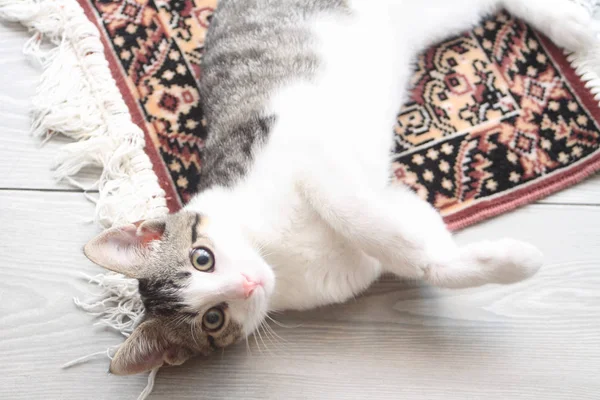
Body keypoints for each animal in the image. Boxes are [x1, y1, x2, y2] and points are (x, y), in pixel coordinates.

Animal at [82, 0, 596, 376]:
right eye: (214, 318)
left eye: (201, 257)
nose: (249, 283)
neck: (274, 253)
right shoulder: (361, 258)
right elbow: (418, 252)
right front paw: (494, 261)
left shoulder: (312, 155)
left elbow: (357, 215)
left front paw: (513, 259)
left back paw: (576, 26)